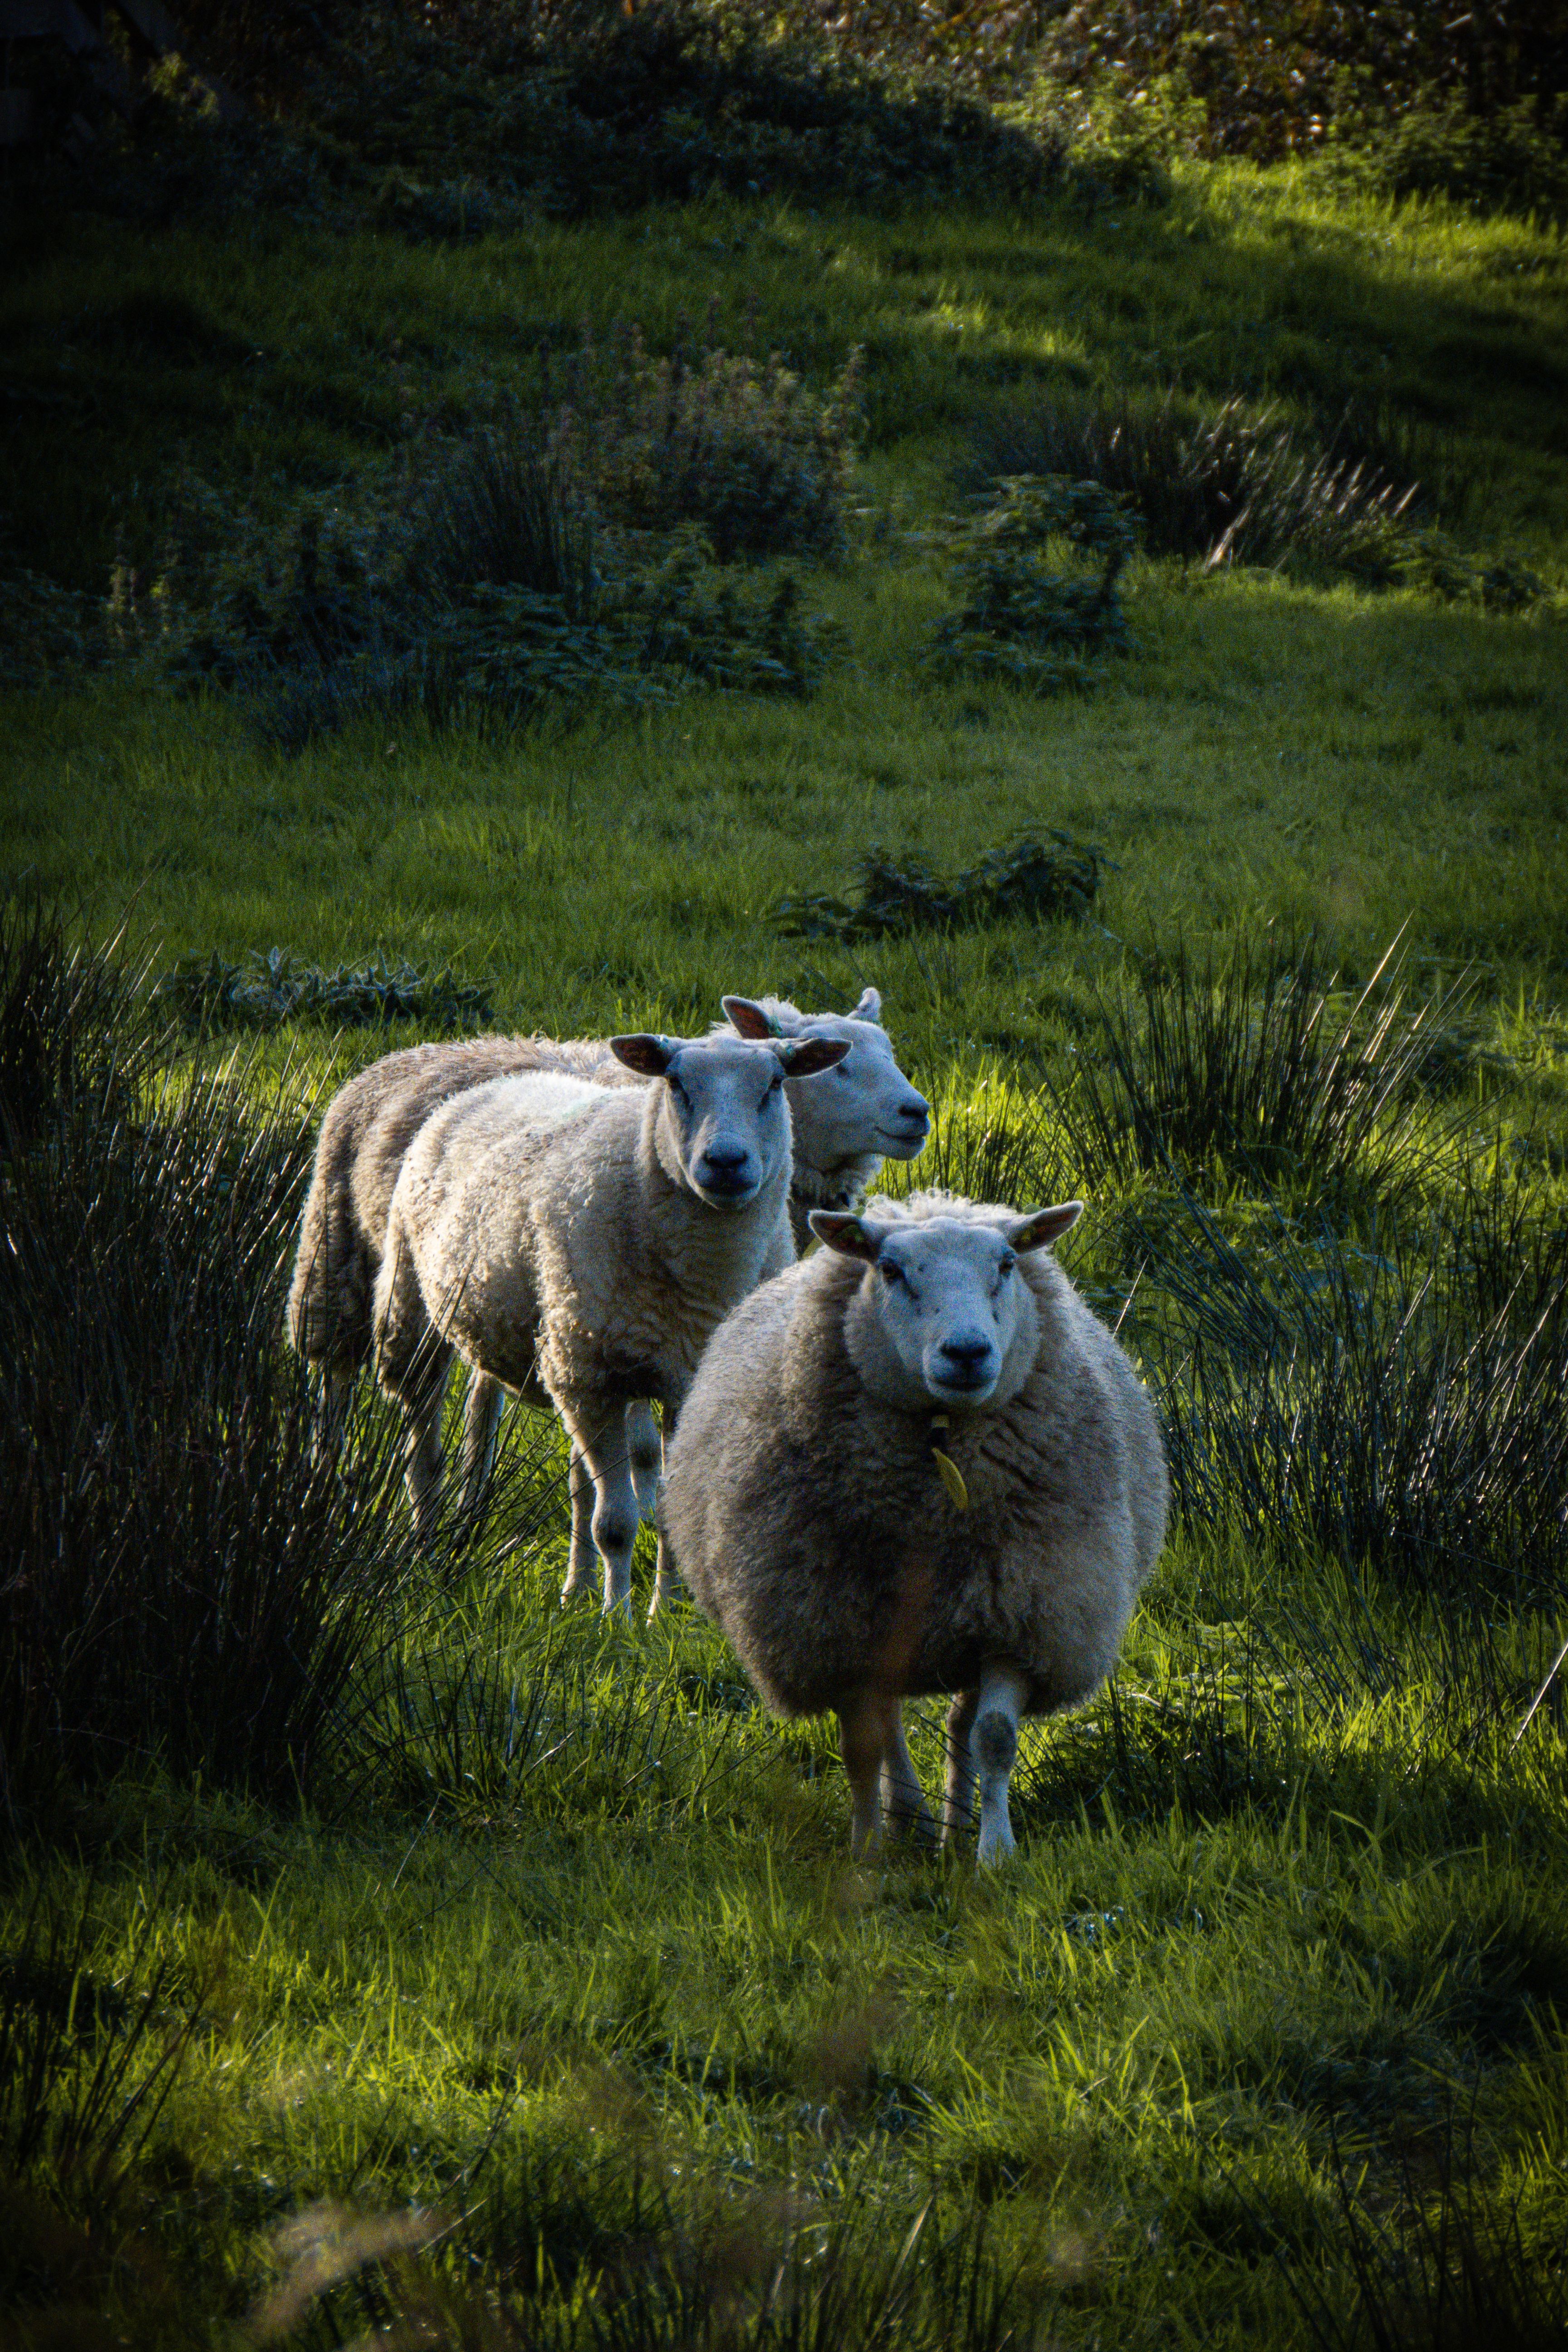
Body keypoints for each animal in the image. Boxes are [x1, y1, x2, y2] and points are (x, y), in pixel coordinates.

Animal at [285, 988, 928, 1522]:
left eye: (891, 1052)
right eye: (840, 1065)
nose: (918, 1113)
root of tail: (404, 1056)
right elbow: (636, 1451)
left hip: (483, 1286)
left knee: (480, 1392)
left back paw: (471, 1499)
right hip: (344, 1257)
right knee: (340, 1381)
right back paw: (329, 1488)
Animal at [371, 1029, 850, 1615]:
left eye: (776, 1083)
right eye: (675, 1083)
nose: (726, 1162)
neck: (706, 1280)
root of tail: (502, 1081)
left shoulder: (675, 1379)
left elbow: (660, 1507)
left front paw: (664, 1613)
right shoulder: (592, 1378)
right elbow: (616, 1523)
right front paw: (616, 1618)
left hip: (549, 1345)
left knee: (566, 1473)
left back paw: (572, 1589)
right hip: (419, 1306)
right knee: (422, 1438)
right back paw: (427, 1546)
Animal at [658, 1190, 1168, 1864]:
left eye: (1007, 1263)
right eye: (890, 1269)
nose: (967, 1353)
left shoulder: (1021, 1615)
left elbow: (995, 1737)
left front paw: (994, 1852)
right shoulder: (839, 1632)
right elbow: (863, 1750)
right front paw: (867, 1851)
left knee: (957, 1725)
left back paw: (952, 1826)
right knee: (893, 1729)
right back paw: (912, 1824)